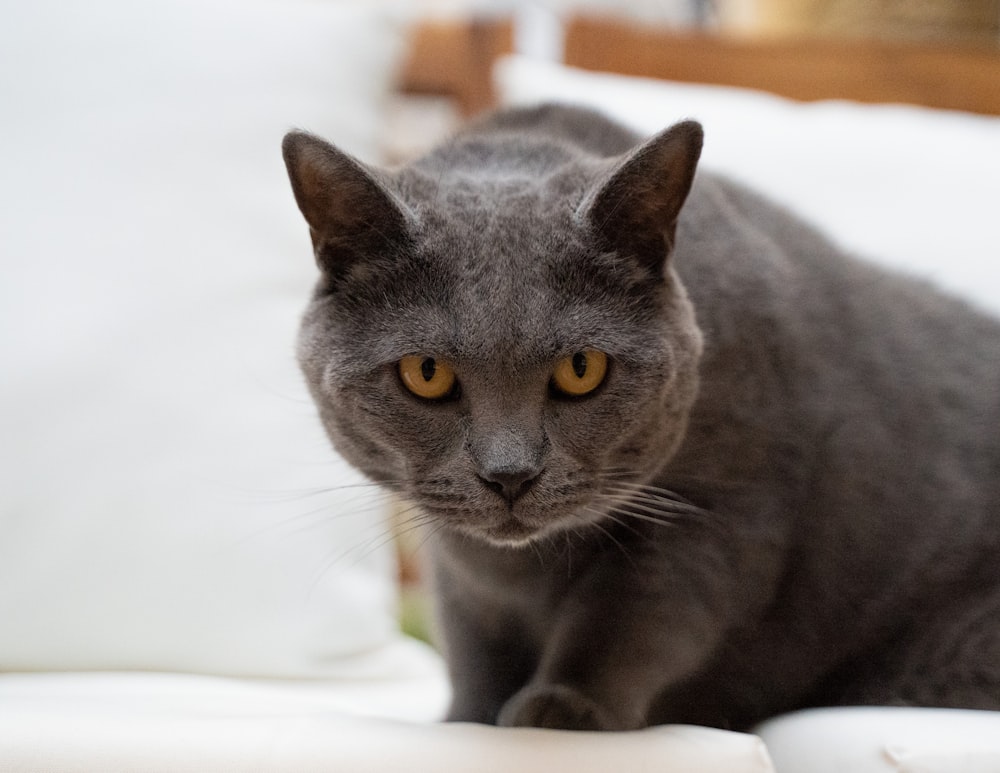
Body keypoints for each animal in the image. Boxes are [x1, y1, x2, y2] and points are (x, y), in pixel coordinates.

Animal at [280, 104, 1000, 728]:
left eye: (582, 368)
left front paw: (562, 709)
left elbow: (638, 617)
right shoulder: (461, 568)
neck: (527, 564)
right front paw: (469, 720)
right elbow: (473, 637)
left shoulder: (726, 507)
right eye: (425, 373)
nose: (510, 473)